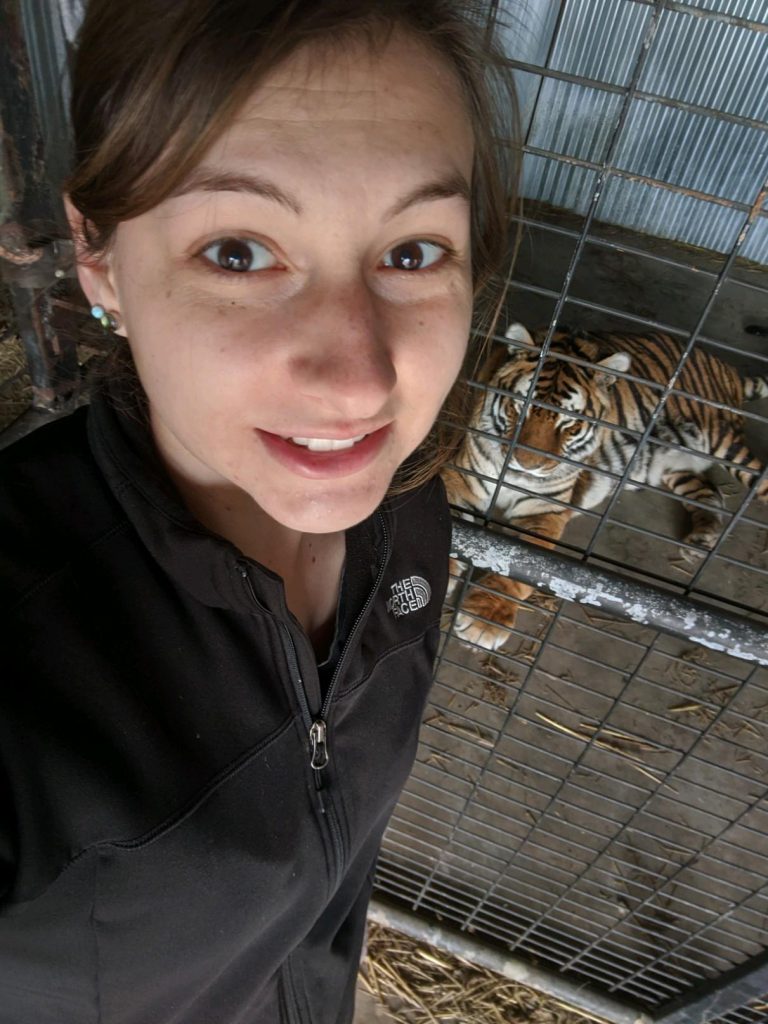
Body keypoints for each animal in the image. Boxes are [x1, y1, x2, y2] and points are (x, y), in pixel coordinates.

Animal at [444, 323, 768, 651]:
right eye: (520, 407)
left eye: (570, 425)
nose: (527, 464)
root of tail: (722, 364)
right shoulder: (462, 479)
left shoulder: (544, 510)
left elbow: (523, 564)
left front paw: (485, 620)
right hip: (672, 466)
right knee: (709, 490)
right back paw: (702, 539)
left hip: (726, 444)